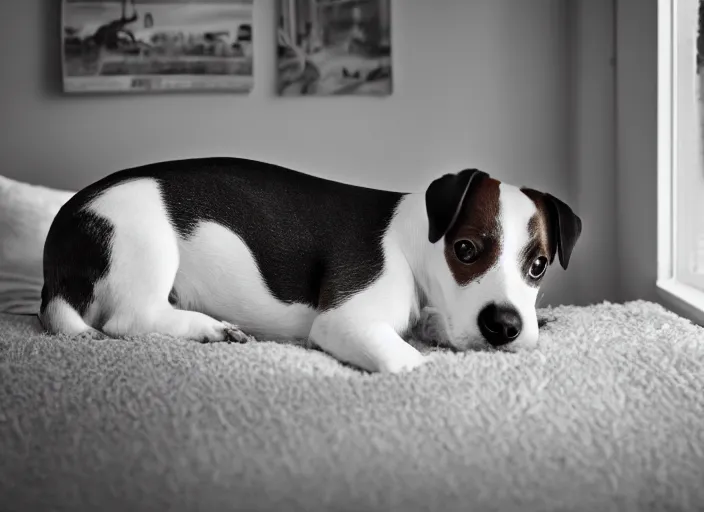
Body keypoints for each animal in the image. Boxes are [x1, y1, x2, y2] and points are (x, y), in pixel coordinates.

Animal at [41, 156, 584, 372]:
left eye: (538, 266)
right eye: (466, 250)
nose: (505, 326)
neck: (415, 241)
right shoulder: (347, 322)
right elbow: (408, 361)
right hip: (145, 237)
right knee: (128, 318)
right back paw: (209, 328)